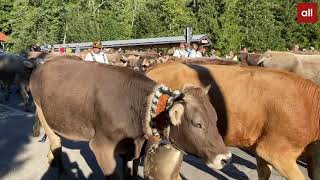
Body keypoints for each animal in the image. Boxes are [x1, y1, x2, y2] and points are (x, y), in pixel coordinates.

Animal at [30, 58, 230, 179]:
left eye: (216, 119)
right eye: (198, 124)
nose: (226, 158)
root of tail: (45, 63)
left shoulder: (132, 149)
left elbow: (130, 172)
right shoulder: (101, 147)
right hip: (41, 110)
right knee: (56, 142)